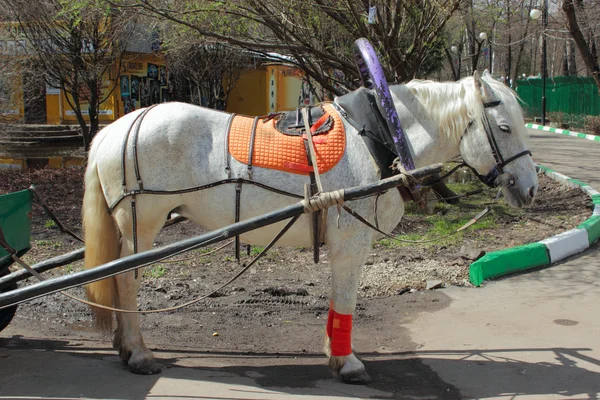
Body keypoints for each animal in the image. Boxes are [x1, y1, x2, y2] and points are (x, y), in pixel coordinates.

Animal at [82, 70, 536, 382]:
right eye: (504, 127)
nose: (530, 188)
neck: (380, 137)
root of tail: (112, 131)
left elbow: (338, 302)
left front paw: (334, 352)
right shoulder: (351, 241)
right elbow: (347, 298)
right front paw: (348, 362)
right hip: (143, 224)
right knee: (125, 281)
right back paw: (138, 352)